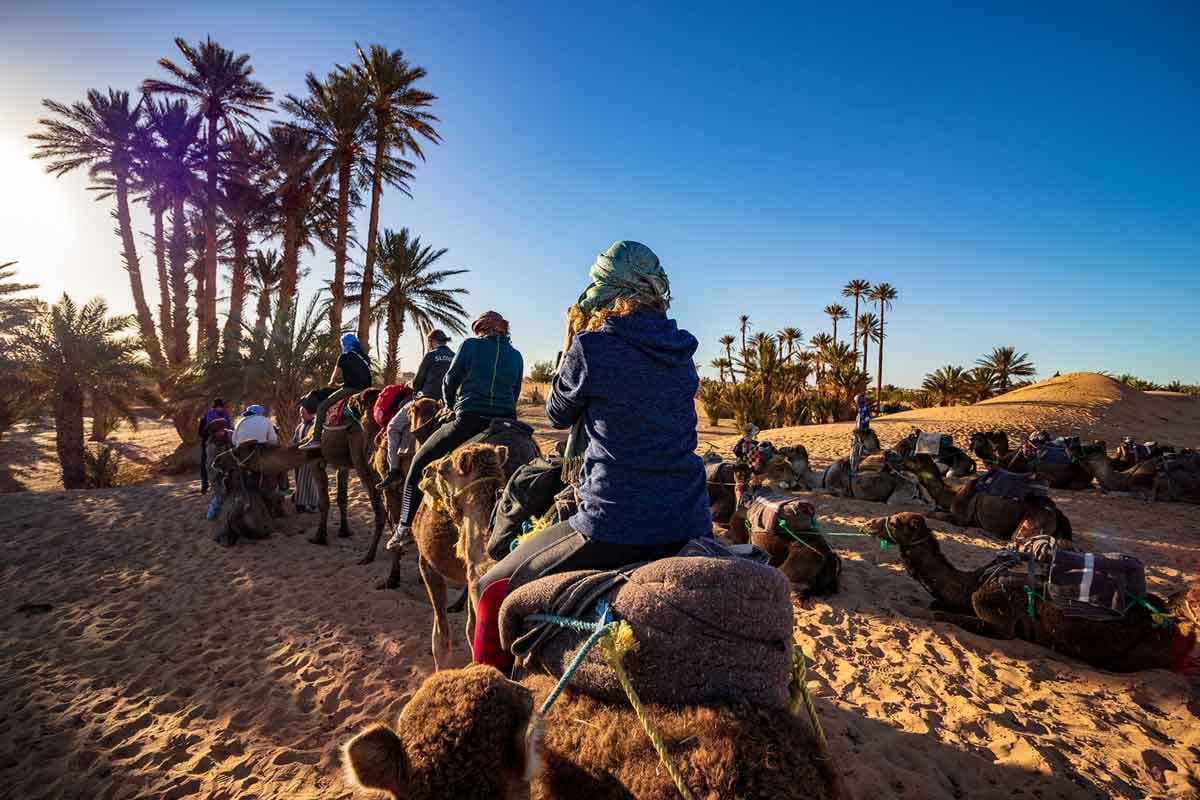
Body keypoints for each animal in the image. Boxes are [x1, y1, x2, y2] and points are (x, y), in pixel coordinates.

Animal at [859, 513, 1195, 676]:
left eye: (897, 522)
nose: (868, 524)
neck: (972, 581)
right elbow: (937, 602)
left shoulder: (996, 614)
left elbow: (941, 612)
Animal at [902, 455, 1070, 544]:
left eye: (914, 459)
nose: (902, 460)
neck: (953, 494)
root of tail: (1056, 512)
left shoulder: (961, 518)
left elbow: (933, 514)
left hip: (1033, 521)